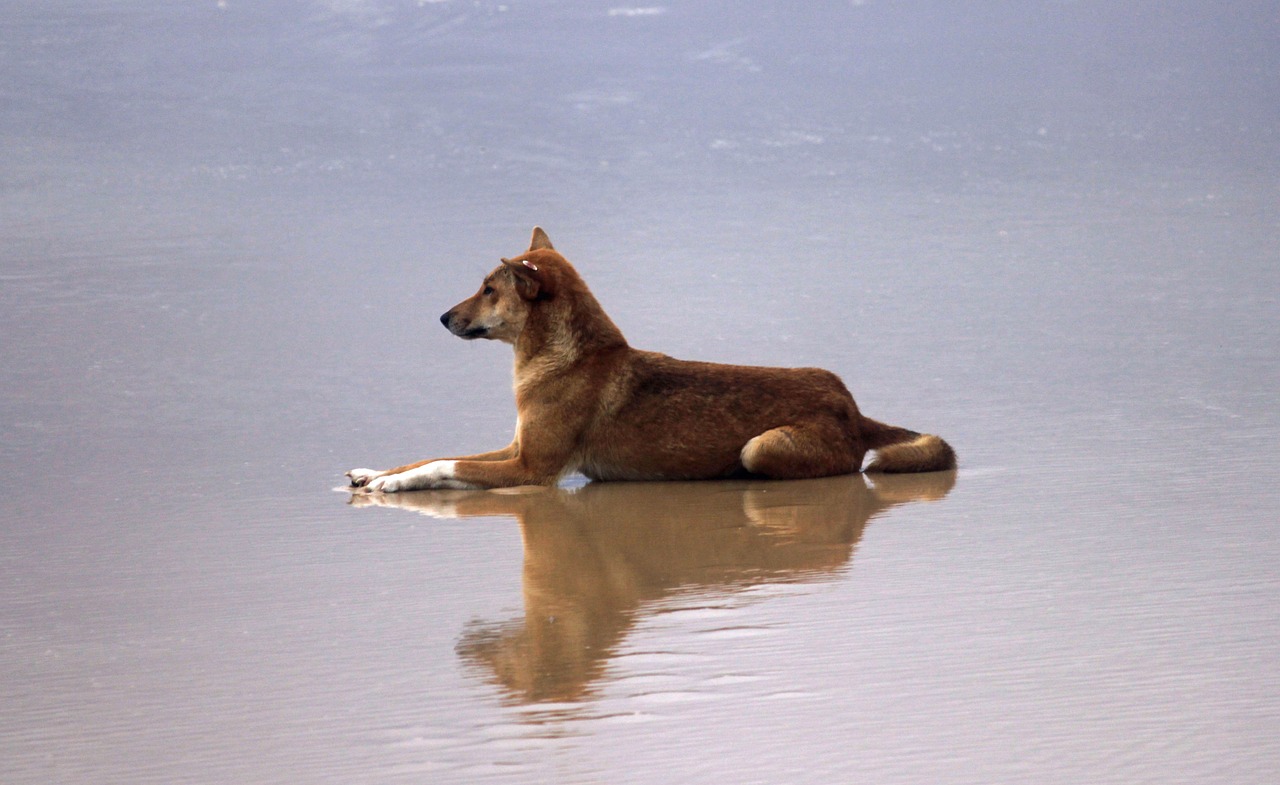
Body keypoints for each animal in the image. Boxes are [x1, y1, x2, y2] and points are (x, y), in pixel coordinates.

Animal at [345, 226, 957, 491]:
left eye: (488, 290)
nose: (442, 318)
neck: (563, 358)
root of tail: (851, 405)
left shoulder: (531, 468)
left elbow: (445, 466)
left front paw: (396, 484)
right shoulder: (516, 448)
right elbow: (430, 454)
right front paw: (375, 473)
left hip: (760, 447)